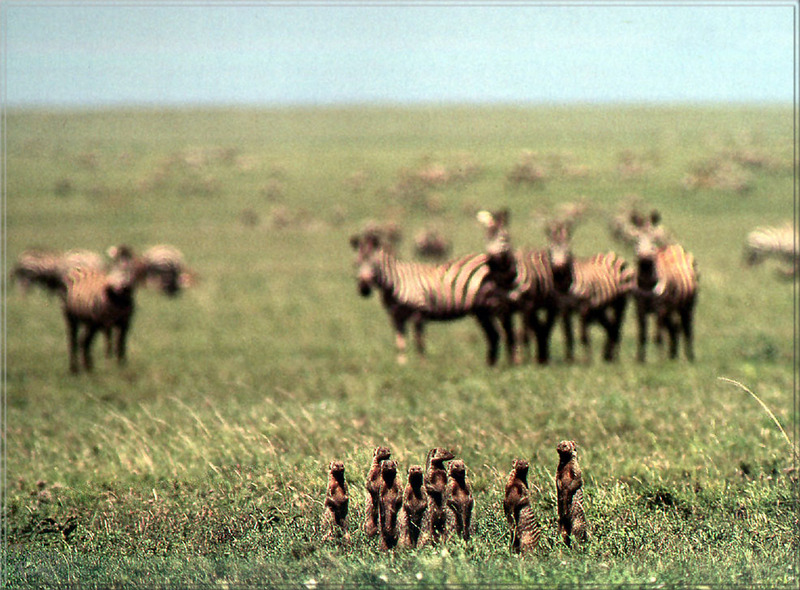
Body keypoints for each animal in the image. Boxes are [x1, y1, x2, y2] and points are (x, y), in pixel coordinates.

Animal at [348, 225, 512, 366]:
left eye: (373, 264)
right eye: (356, 263)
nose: (364, 290)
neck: (396, 283)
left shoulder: (418, 313)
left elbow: (419, 342)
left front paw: (422, 367)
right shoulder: (396, 317)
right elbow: (400, 344)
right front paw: (402, 366)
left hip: (494, 304)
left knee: (505, 332)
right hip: (481, 311)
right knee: (494, 335)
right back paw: (490, 366)